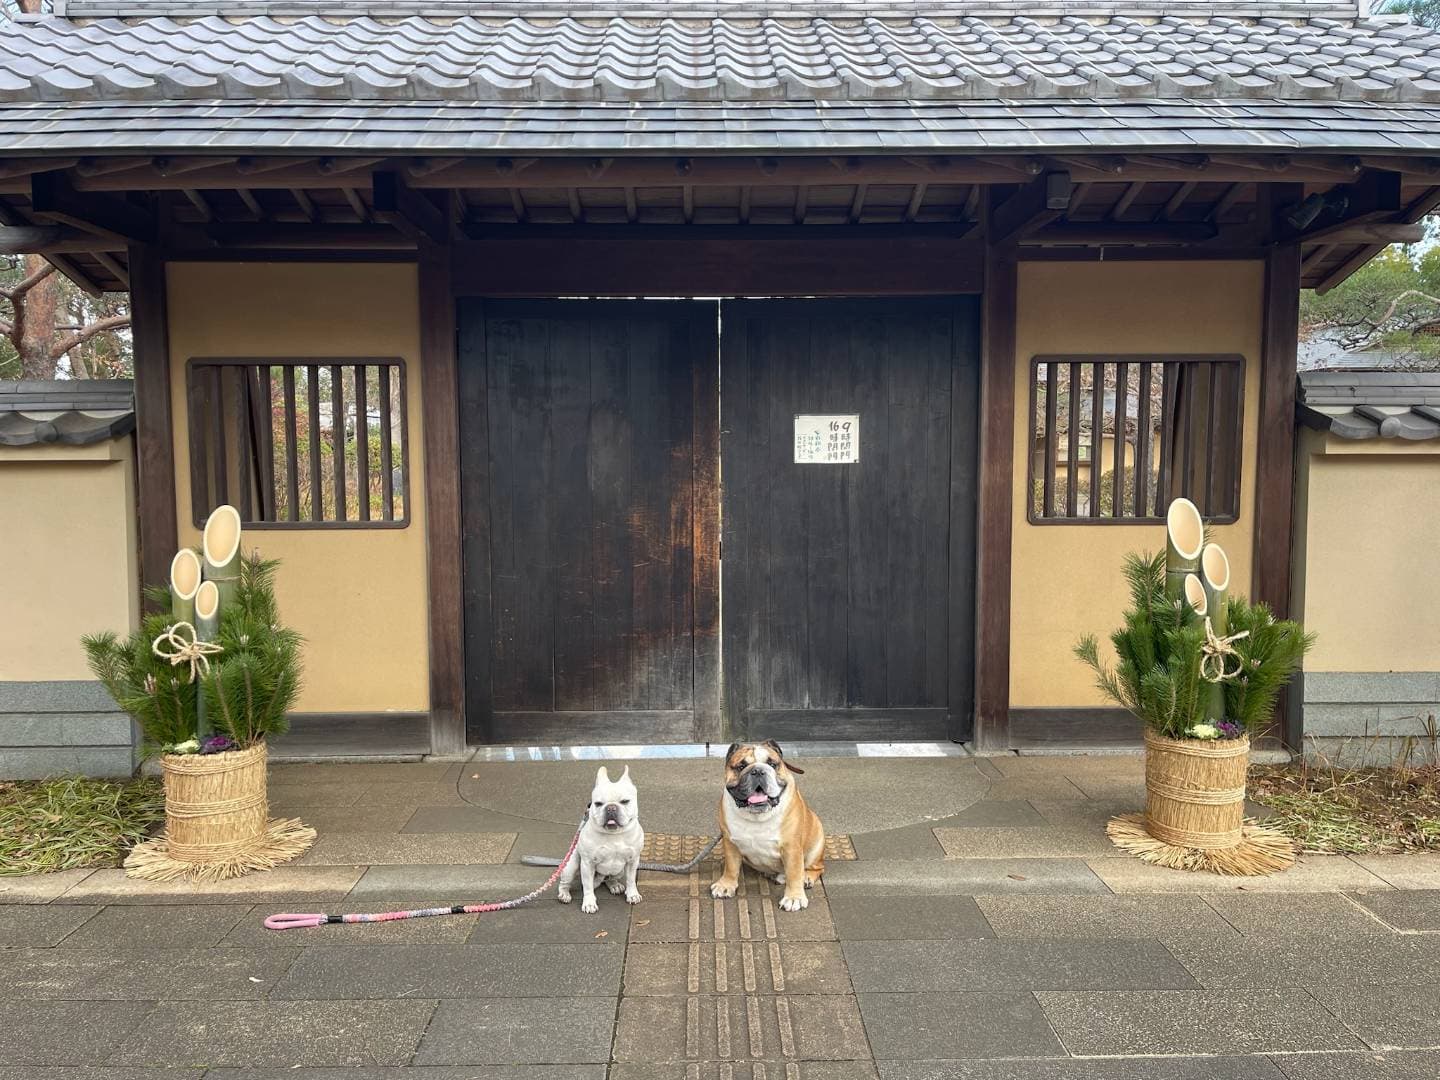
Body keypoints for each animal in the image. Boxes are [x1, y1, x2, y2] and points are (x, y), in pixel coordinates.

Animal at [557, 765, 645, 914]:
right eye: (598, 803)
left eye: (625, 801)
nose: (611, 807)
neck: (614, 834)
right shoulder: (587, 864)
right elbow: (587, 887)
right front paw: (589, 903)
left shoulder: (633, 861)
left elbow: (631, 880)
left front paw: (632, 894)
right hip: (571, 866)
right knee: (565, 883)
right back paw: (564, 894)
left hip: (619, 871)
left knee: (610, 879)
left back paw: (615, 885)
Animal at [710, 741, 825, 912]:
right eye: (741, 766)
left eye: (772, 764)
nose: (758, 771)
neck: (757, 816)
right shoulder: (730, 842)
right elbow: (730, 866)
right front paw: (726, 885)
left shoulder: (791, 847)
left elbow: (794, 873)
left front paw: (794, 898)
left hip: (816, 841)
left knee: (817, 867)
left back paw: (807, 877)